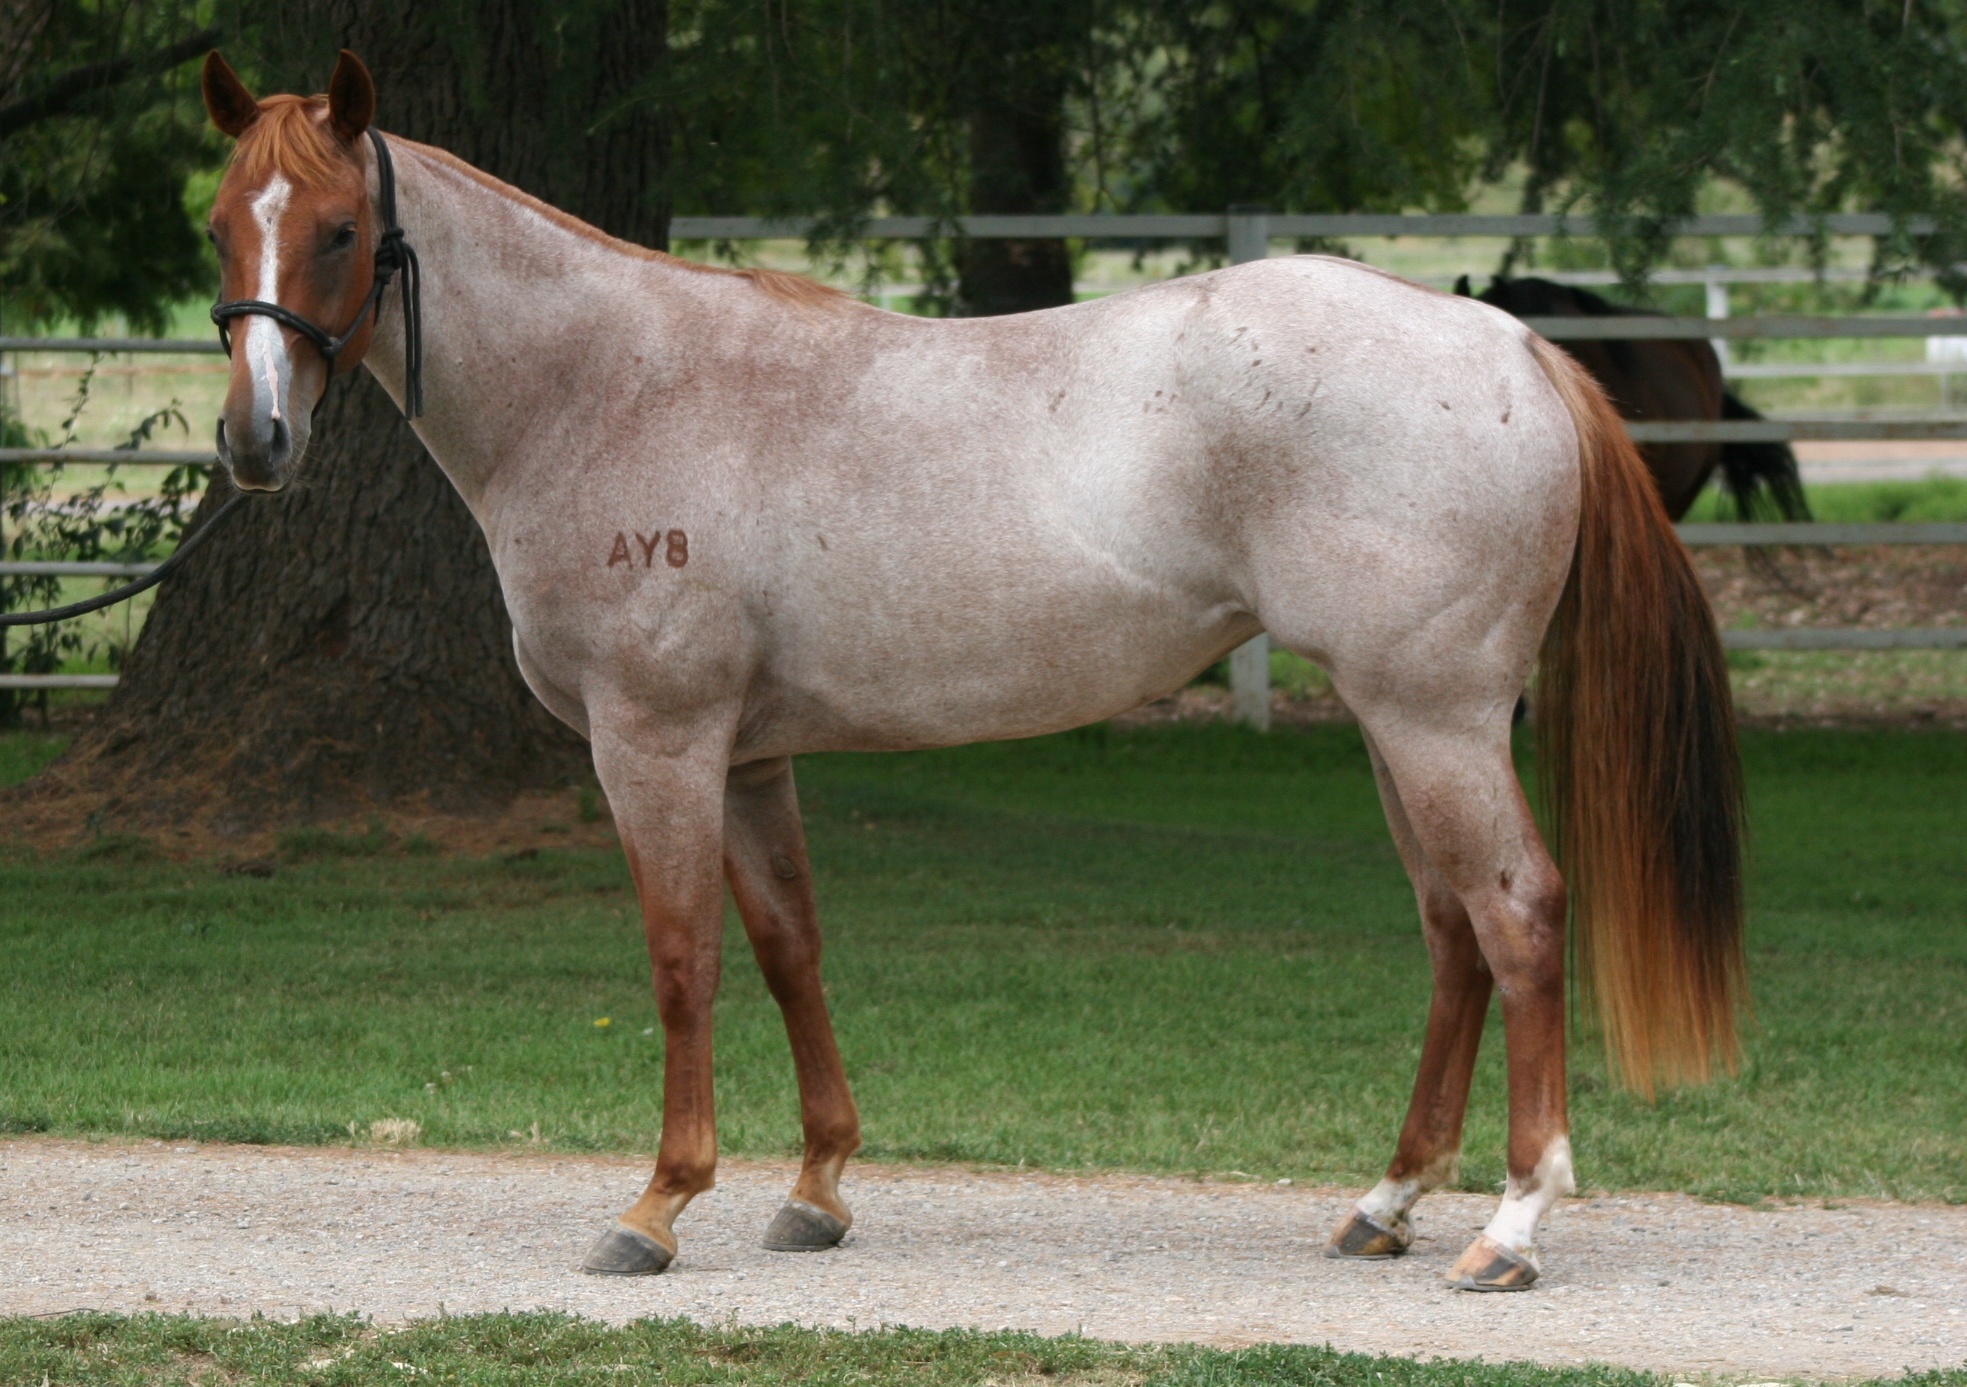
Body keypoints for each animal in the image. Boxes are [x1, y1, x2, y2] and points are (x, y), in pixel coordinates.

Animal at [197, 49, 1745, 1293]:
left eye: (339, 230)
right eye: (219, 224)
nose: (256, 441)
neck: (613, 385)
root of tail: (1513, 343)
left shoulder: (656, 742)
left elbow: (683, 959)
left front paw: (656, 1204)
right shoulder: (751, 754)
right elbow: (789, 948)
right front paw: (816, 1187)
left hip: (1436, 721)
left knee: (1518, 916)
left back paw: (1510, 1224)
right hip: (1394, 724)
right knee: (1450, 930)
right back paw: (1386, 1201)